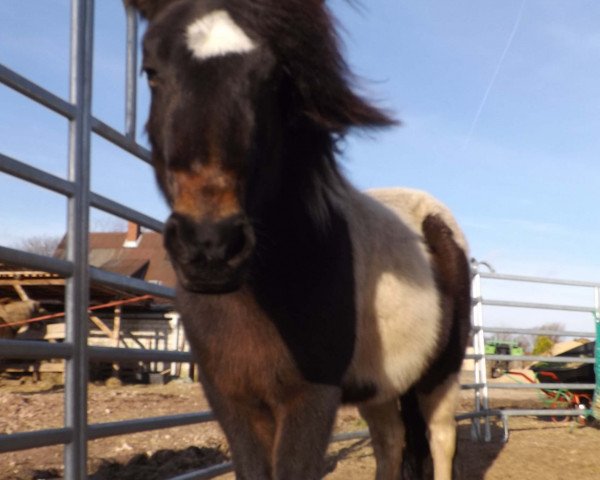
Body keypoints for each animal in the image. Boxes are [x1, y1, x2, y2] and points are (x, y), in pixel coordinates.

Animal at [127, 1, 474, 478]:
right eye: (151, 71)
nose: (210, 245)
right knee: (391, 441)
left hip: (442, 373)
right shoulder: (232, 400)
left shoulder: (310, 400)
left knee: (441, 440)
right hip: (381, 387)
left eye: (276, 79)